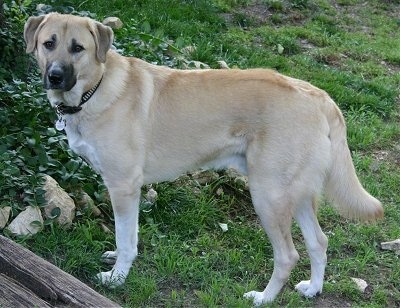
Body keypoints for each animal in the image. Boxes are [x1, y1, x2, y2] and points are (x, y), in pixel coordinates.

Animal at [23, 13, 382, 304]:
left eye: (78, 48)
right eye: (49, 43)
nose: (55, 76)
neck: (95, 88)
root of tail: (319, 95)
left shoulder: (124, 186)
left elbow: (126, 240)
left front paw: (117, 278)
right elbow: (128, 237)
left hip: (268, 195)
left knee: (288, 255)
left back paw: (264, 298)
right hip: (297, 193)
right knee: (319, 242)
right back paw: (314, 289)